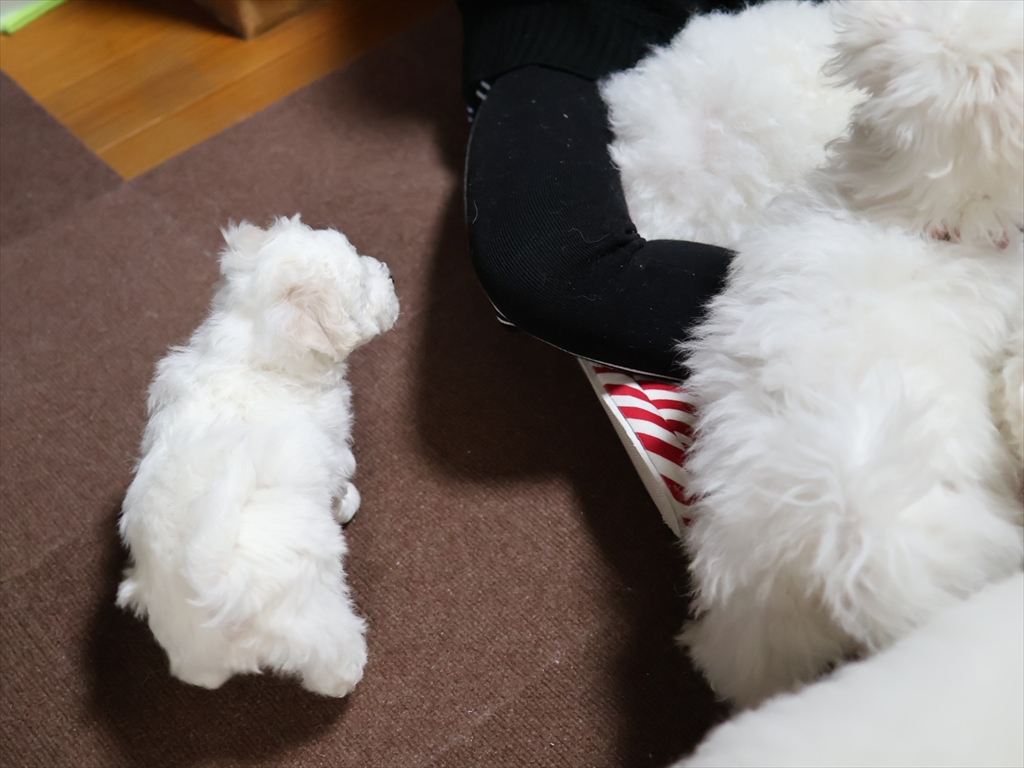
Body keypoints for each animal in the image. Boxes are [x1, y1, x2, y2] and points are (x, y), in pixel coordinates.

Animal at [117, 215, 399, 696]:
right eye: (363, 287)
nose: (390, 273)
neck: (255, 349)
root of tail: (213, 588)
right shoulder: (333, 449)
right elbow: (340, 481)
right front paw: (347, 504)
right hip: (310, 612)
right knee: (331, 656)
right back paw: (350, 673)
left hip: (195, 656)